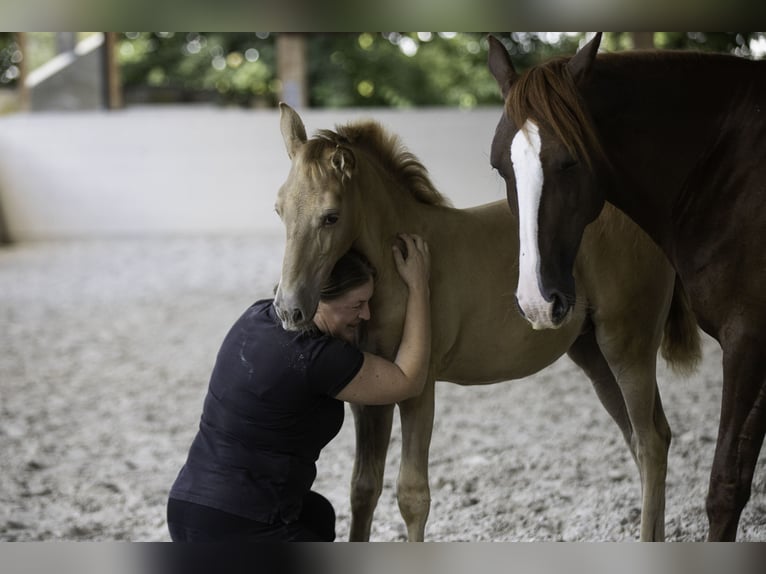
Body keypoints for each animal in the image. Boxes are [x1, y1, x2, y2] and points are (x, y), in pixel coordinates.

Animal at [276, 104, 704, 544]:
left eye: (330, 216)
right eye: (279, 209)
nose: (289, 309)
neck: (398, 265)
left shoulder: (418, 388)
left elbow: (412, 494)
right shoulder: (367, 395)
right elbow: (363, 488)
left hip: (627, 346)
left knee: (651, 442)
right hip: (593, 355)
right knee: (643, 438)